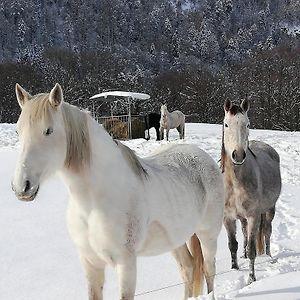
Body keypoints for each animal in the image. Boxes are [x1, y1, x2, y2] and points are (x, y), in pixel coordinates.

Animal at [11, 83, 224, 300]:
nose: (21, 186)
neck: (94, 202)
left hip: (208, 235)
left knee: (209, 269)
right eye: (18, 131)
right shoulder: (90, 263)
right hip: (176, 239)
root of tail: (204, 158)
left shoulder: (126, 263)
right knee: (188, 269)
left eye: (48, 131)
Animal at [220, 99, 282, 286]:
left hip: (269, 210)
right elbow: (232, 244)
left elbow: (253, 248)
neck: (235, 184)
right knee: (245, 234)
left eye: (247, 124)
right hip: (242, 218)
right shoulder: (228, 218)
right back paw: (244, 255)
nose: (238, 155)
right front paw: (234, 268)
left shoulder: (254, 217)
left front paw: (251, 278)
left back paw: (268, 256)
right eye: (226, 124)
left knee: (267, 232)